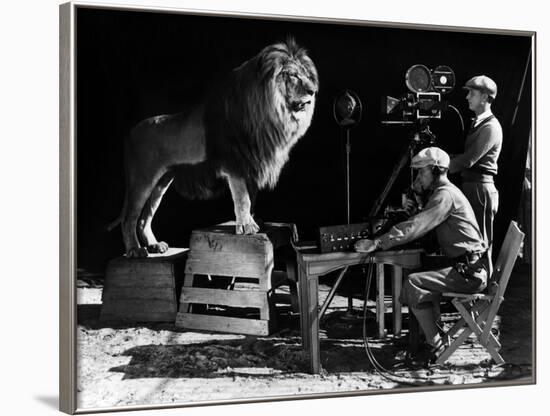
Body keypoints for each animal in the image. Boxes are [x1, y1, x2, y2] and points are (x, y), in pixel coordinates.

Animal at [108, 40, 320, 258]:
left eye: (306, 75)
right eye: (293, 75)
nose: (313, 91)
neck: (267, 112)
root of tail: (130, 134)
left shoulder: (251, 163)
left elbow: (251, 197)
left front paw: (254, 221)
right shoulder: (235, 163)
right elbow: (242, 197)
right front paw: (247, 227)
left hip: (161, 183)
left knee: (144, 218)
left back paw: (155, 246)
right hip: (142, 179)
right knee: (130, 218)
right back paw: (135, 250)